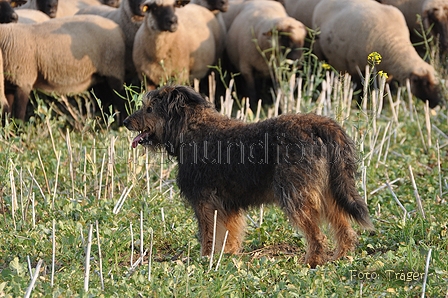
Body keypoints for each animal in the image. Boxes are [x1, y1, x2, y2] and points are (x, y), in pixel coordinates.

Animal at [124, 84, 372, 268]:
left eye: (149, 108)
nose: (125, 122)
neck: (190, 127)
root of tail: (320, 125)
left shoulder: (204, 202)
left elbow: (208, 234)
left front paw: (205, 259)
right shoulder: (227, 205)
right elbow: (229, 235)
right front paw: (227, 256)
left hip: (295, 195)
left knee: (317, 235)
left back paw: (312, 261)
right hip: (328, 192)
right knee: (344, 228)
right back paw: (341, 257)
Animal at [314, 0, 442, 108]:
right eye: (425, 84)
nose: (438, 103)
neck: (395, 44)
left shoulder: (387, 74)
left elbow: (383, 90)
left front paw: (382, 107)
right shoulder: (358, 68)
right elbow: (362, 90)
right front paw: (361, 107)